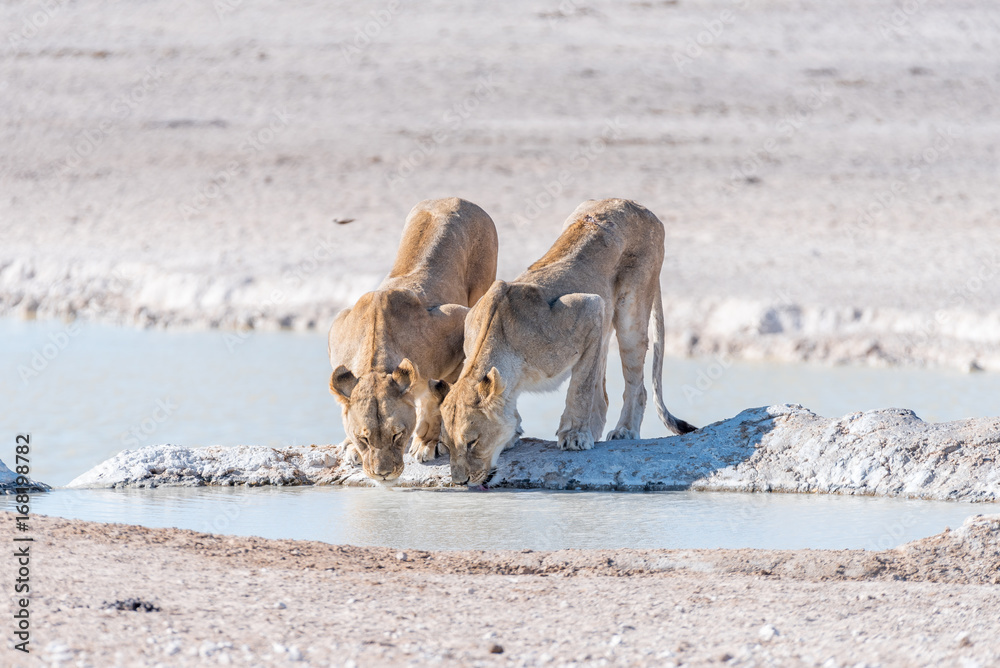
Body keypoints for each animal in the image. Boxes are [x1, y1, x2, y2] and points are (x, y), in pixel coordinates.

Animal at [327, 197, 498, 482]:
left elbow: (437, 398)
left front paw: (427, 442)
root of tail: (454, 198)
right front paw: (349, 446)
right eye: (364, 439)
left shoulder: (457, 321)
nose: (383, 475)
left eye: (397, 435)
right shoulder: (338, 329)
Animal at [435, 198, 696, 486]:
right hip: (604, 321)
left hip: (630, 315)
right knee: (602, 392)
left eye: (472, 442)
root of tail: (635, 203)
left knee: (635, 385)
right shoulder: (594, 316)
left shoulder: (589, 307)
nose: (460, 482)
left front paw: (574, 436)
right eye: (446, 445)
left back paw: (624, 430)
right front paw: (515, 431)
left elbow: (579, 389)